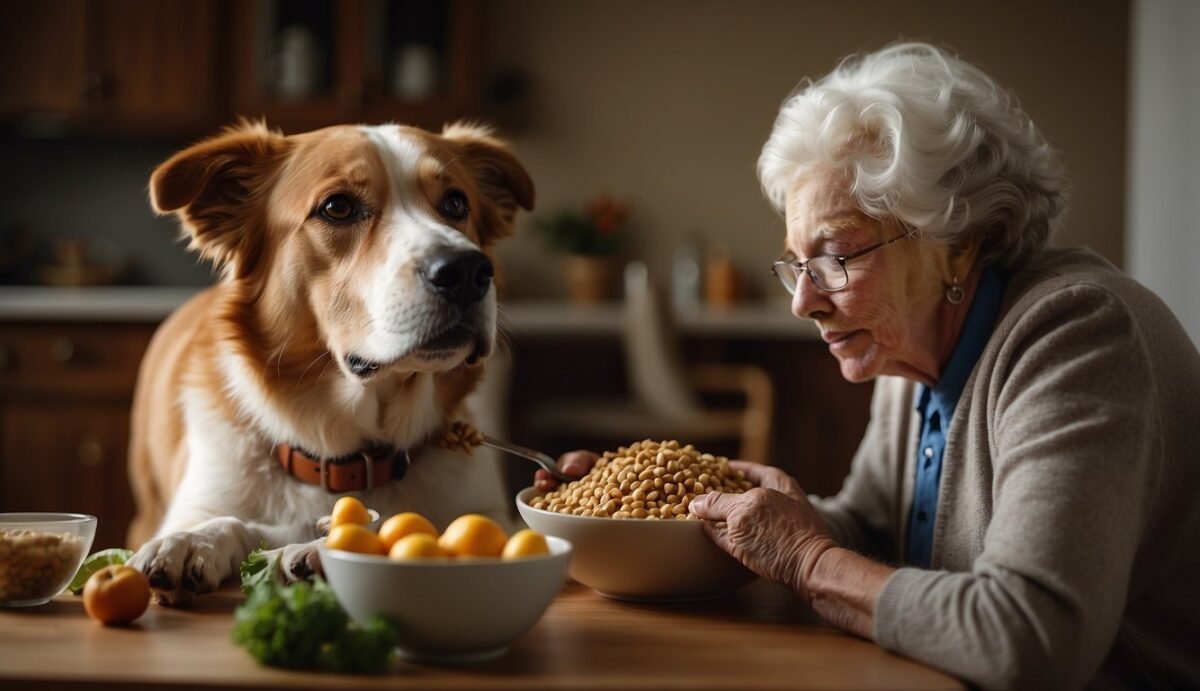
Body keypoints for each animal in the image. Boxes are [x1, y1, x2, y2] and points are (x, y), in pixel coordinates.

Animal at [124, 119, 532, 604]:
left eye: (456, 203)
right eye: (337, 207)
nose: (468, 271)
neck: (348, 454)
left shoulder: (491, 513)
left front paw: (320, 549)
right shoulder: (205, 497)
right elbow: (235, 521)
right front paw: (193, 540)